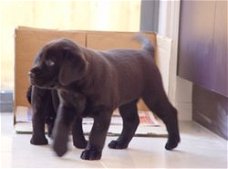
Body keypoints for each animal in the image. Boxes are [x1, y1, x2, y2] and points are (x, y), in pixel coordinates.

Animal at [29, 35, 180, 160]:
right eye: (39, 58)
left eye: (50, 62)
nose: (30, 73)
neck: (77, 88)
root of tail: (145, 53)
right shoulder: (67, 107)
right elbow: (61, 125)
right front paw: (59, 148)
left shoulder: (103, 112)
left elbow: (96, 134)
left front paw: (92, 152)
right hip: (127, 102)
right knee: (132, 121)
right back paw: (120, 143)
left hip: (153, 95)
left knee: (170, 112)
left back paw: (172, 142)